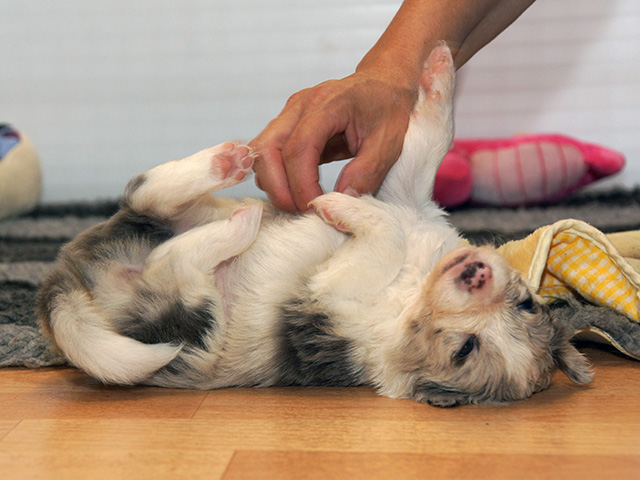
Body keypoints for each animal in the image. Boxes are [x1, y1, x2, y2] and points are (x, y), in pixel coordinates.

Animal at [37, 43, 593, 407]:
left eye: (466, 350)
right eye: (527, 302)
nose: (476, 273)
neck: (415, 285)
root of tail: (67, 282)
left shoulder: (331, 293)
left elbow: (385, 234)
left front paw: (335, 204)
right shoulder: (408, 199)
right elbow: (429, 142)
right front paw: (438, 67)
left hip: (186, 326)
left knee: (177, 265)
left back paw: (238, 222)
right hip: (168, 218)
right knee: (148, 193)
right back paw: (225, 163)